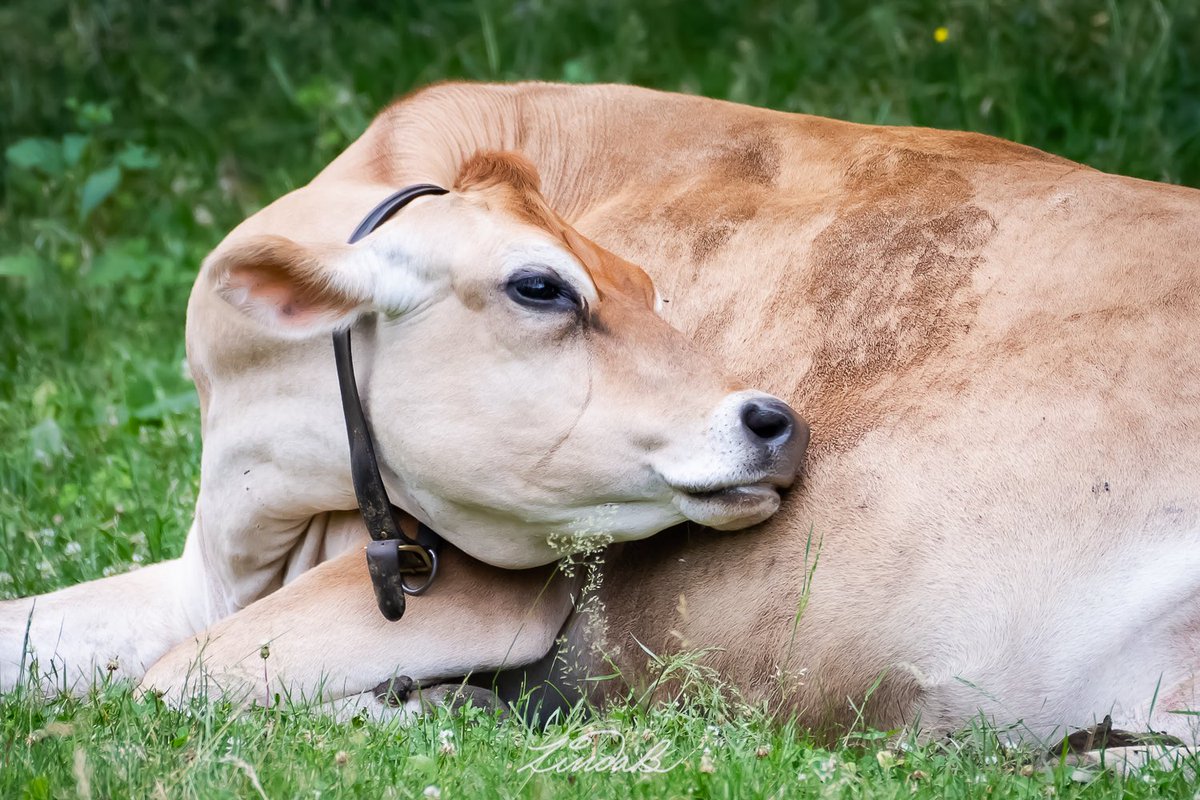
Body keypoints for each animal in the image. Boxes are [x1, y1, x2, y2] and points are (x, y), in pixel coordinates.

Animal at [2, 82, 1198, 746]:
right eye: (543, 286)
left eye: (654, 285)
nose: (776, 419)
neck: (258, 510)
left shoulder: (482, 590)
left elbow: (170, 684)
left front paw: (448, 708)